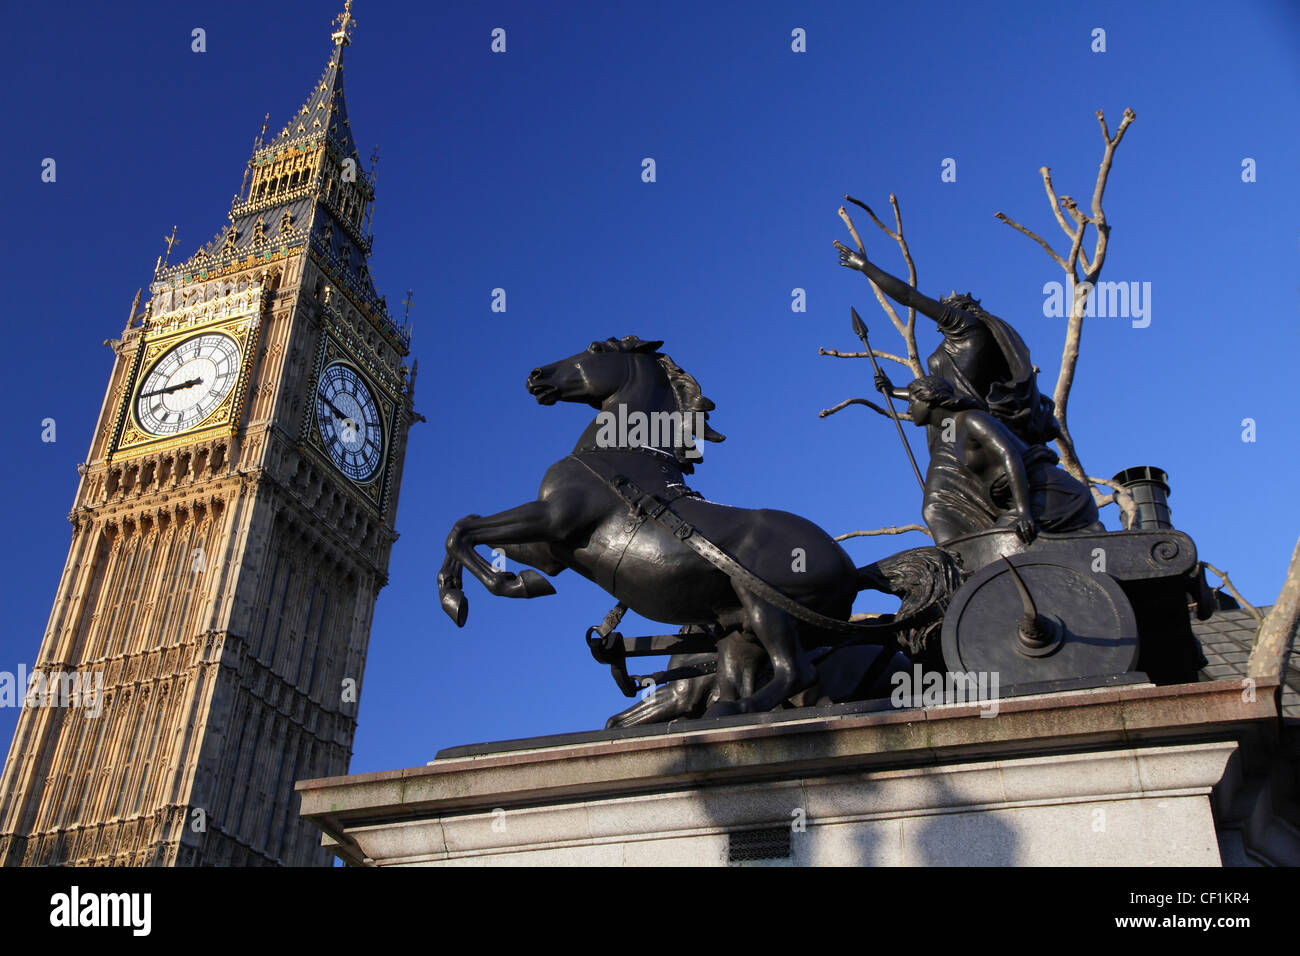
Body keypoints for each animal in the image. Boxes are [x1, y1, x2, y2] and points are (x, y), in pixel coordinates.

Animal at [441, 332, 889, 712]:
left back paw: (738, 710)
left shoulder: (552, 517)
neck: (620, 455)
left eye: (596, 348)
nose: (536, 376)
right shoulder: (553, 549)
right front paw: (457, 595)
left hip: (764, 604)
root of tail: (854, 570)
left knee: (797, 672)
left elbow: (463, 532)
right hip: (738, 630)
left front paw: (510, 586)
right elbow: (466, 527)